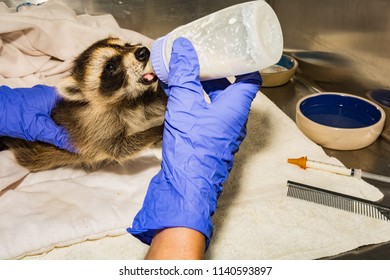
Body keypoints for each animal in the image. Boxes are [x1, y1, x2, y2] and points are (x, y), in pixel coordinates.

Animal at [1, 37, 169, 172]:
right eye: (110, 66)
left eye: (127, 45)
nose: (143, 51)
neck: (124, 100)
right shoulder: (93, 125)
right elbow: (119, 149)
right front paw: (157, 131)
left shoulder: (139, 104)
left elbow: (154, 106)